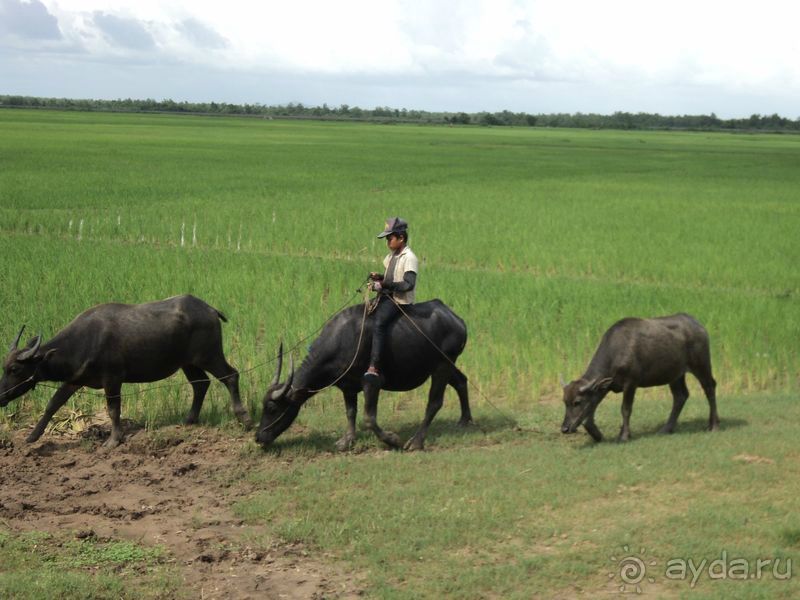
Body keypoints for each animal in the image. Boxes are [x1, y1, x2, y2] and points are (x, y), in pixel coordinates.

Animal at [0, 292, 250, 448]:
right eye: (5, 366)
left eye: (14, 368)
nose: (1, 396)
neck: (85, 339)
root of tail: (210, 309)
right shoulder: (75, 379)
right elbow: (53, 404)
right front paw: (32, 436)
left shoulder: (112, 379)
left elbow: (113, 409)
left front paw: (113, 440)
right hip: (188, 363)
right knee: (201, 384)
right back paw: (189, 420)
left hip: (209, 355)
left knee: (231, 376)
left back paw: (243, 418)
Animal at [256, 300, 472, 450]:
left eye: (272, 408)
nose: (258, 437)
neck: (341, 340)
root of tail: (457, 320)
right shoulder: (347, 386)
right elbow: (351, 412)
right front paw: (347, 441)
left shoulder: (371, 383)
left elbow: (369, 418)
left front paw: (392, 440)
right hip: (444, 365)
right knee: (461, 381)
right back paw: (465, 420)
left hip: (442, 366)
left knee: (434, 402)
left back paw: (417, 442)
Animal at [560, 314, 720, 440]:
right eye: (565, 402)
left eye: (577, 402)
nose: (565, 429)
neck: (616, 352)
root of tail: (698, 325)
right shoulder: (605, 388)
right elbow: (589, 415)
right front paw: (598, 435)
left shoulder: (631, 383)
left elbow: (625, 409)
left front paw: (624, 435)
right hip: (675, 375)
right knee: (681, 396)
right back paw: (666, 429)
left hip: (701, 365)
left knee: (709, 387)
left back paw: (714, 425)